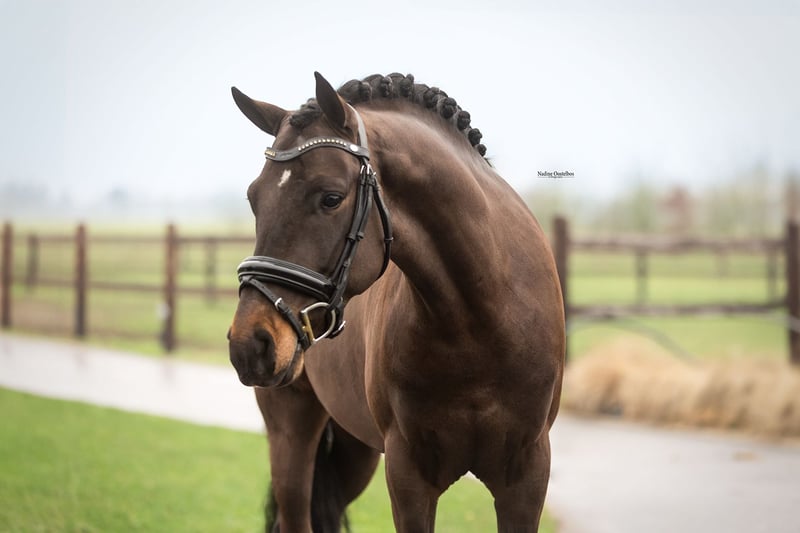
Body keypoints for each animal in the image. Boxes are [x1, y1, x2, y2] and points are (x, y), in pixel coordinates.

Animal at [227, 72, 565, 532]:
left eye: (331, 198)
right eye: (253, 199)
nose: (250, 344)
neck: (478, 322)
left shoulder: (527, 477)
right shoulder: (409, 476)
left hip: (354, 453)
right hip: (290, 431)